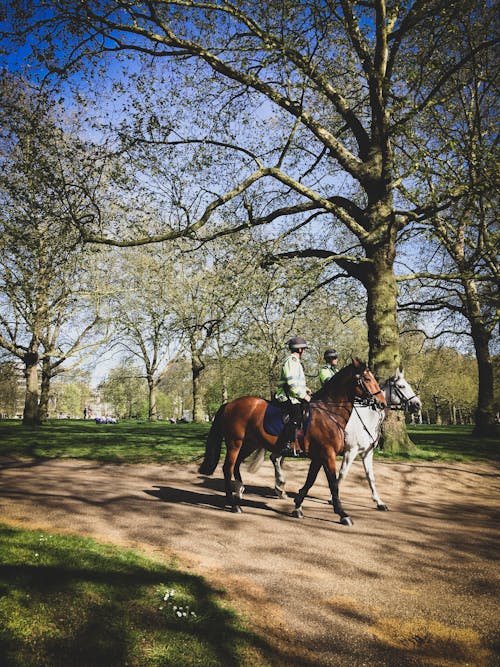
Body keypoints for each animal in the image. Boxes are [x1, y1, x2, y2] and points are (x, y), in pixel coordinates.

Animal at [199, 358, 386, 524]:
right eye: (367, 379)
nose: (382, 403)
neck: (330, 412)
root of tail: (229, 404)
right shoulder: (329, 454)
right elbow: (334, 483)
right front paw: (342, 514)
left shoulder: (320, 457)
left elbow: (310, 481)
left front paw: (297, 507)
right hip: (235, 443)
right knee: (228, 468)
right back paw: (233, 503)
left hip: (249, 444)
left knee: (237, 465)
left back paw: (240, 491)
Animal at [248, 370, 420, 512]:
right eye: (401, 386)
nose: (417, 404)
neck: (366, 418)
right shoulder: (350, 451)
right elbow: (342, 474)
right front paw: (332, 498)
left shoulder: (366, 453)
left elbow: (370, 476)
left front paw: (379, 502)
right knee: (275, 459)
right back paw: (280, 486)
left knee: (276, 458)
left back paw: (280, 488)